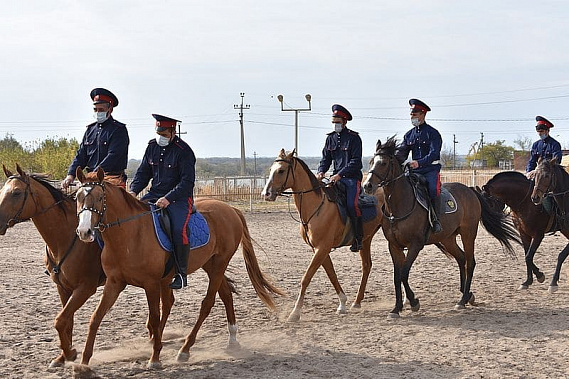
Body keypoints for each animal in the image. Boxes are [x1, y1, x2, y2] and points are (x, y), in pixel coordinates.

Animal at [0, 165, 106, 370]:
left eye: (16, 192)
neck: (65, 237)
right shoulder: (63, 288)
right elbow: (67, 322)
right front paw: (63, 356)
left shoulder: (85, 288)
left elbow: (59, 320)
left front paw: (70, 353)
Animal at [73, 168, 282, 368]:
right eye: (78, 197)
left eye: (100, 197)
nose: (84, 232)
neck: (130, 235)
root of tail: (230, 209)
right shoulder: (114, 283)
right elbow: (95, 318)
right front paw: (84, 362)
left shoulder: (151, 284)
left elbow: (154, 317)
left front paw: (155, 358)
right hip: (211, 265)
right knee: (226, 294)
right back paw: (232, 339)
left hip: (220, 263)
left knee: (207, 304)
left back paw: (185, 349)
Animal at [260, 150, 384, 322]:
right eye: (271, 169)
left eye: (281, 171)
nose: (266, 194)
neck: (317, 206)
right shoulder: (319, 249)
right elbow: (331, 274)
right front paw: (342, 303)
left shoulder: (322, 248)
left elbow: (306, 278)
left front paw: (295, 313)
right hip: (365, 240)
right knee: (367, 266)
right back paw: (357, 302)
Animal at [364, 138, 520, 320]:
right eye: (371, 162)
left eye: (383, 163)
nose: (367, 186)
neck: (399, 205)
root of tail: (470, 190)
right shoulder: (394, 246)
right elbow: (397, 277)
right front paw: (396, 309)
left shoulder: (415, 245)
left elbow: (404, 273)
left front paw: (414, 302)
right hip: (447, 238)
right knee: (461, 258)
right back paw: (467, 295)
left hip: (468, 234)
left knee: (470, 262)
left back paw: (462, 300)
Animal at [528, 157, 569, 294]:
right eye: (535, 175)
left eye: (546, 176)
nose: (535, 197)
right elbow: (562, 255)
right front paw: (553, 282)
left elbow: (561, 255)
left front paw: (553, 283)